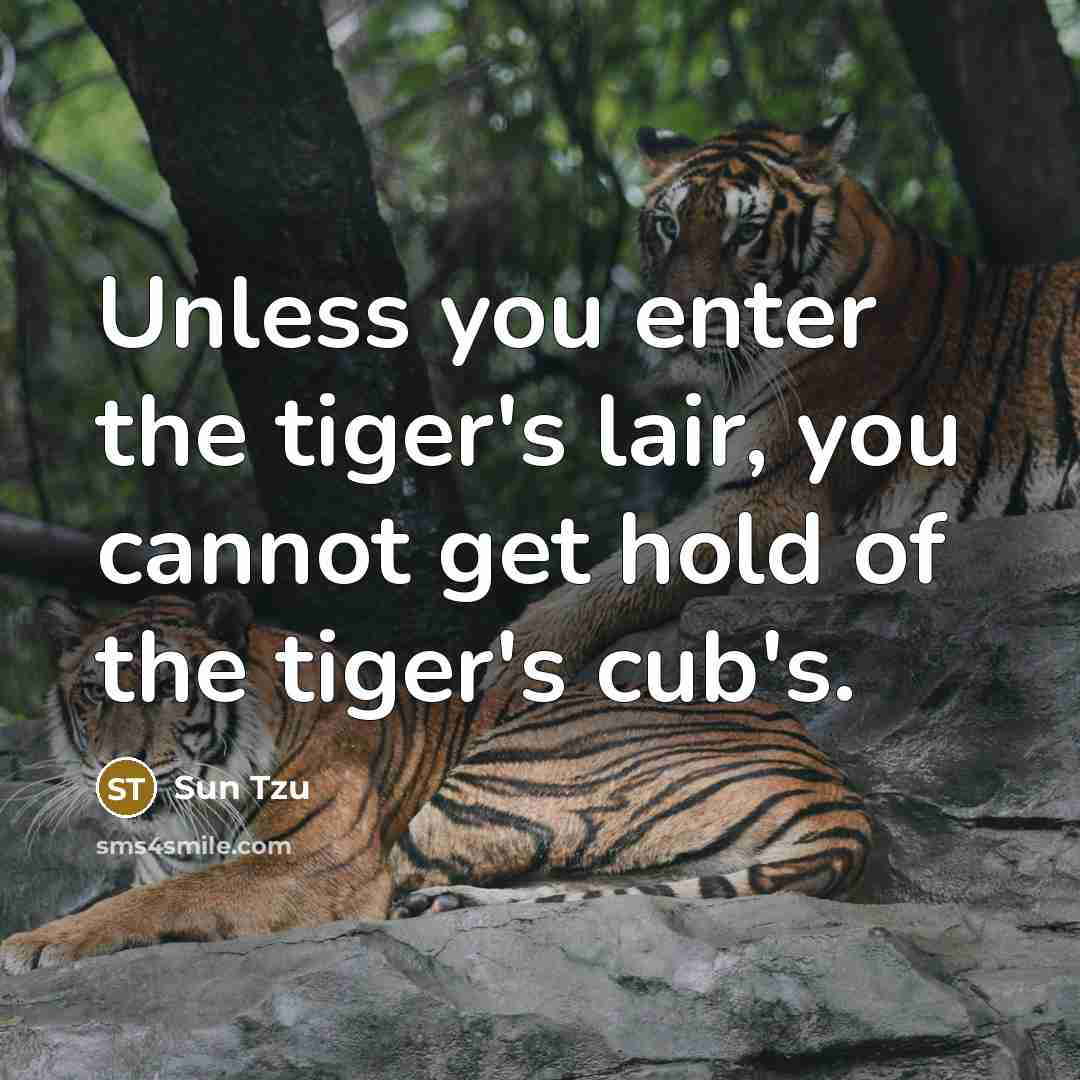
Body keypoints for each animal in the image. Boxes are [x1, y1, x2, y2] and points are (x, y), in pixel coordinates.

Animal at [0, 591, 870, 973]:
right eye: (93, 695)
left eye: (167, 687)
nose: (119, 774)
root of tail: (839, 792)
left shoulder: (316, 866)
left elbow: (163, 900)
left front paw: (34, 944)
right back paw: (444, 906)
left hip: (491, 781)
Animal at [484, 114, 1080, 690]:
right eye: (670, 226)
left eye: (746, 233)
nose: (675, 320)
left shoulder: (771, 495)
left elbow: (629, 568)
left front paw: (510, 660)